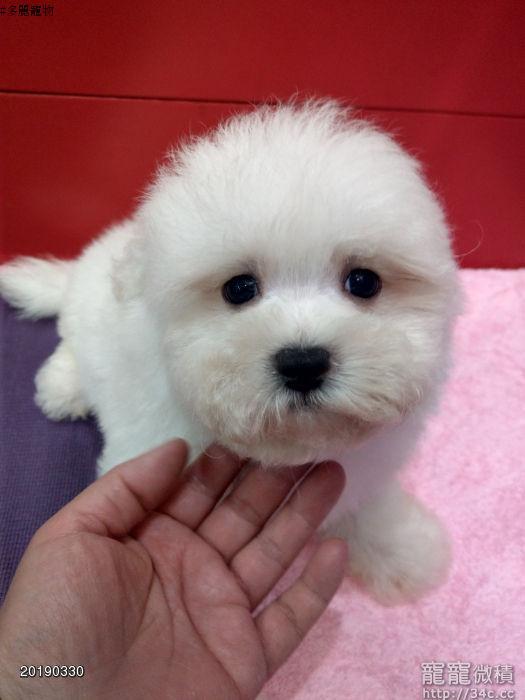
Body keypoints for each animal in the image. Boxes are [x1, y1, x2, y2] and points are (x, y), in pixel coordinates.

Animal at [0, 100, 460, 604]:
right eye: (239, 289)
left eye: (363, 282)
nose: (303, 363)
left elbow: (368, 501)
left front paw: (400, 550)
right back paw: (62, 387)